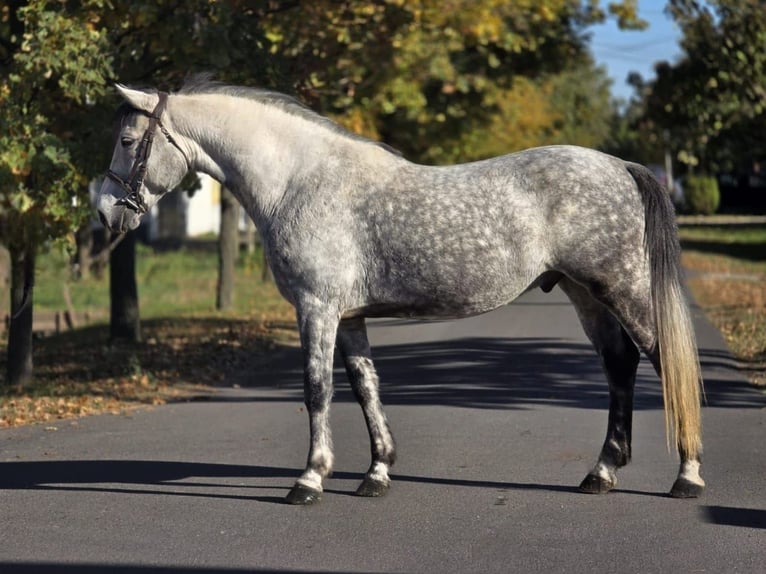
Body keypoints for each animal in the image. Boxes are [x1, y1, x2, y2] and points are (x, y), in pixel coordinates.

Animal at [96, 78, 704, 505]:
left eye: (127, 140)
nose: (104, 211)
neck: (299, 180)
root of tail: (620, 166)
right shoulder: (348, 317)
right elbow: (366, 387)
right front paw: (377, 473)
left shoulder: (317, 310)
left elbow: (317, 390)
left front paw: (309, 480)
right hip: (585, 295)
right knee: (619, 366)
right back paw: (601, 472)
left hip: (622, 288)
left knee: (662, 360)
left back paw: (688, 475)